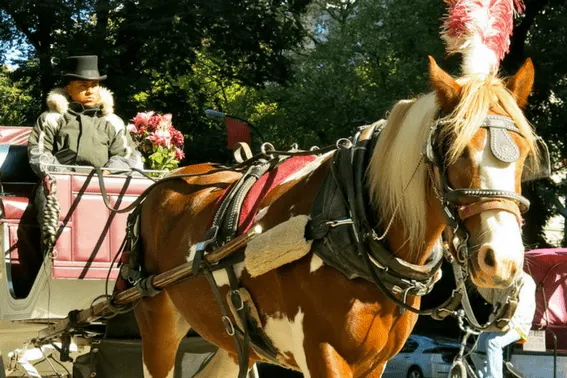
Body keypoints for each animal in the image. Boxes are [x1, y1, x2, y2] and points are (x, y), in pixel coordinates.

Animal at [135, 56, 540, 378]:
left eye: (522, 153)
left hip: (230, 342)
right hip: (158, 327)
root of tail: (165, 182)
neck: (355, 230)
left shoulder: (375, 363)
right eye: (453, 150)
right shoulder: (324, 356)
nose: (501, 261)